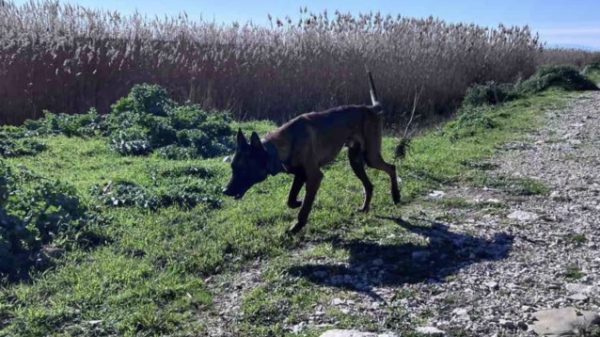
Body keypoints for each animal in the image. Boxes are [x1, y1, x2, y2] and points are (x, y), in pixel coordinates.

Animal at [223, 71, 400, 234]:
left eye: (243, 169)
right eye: (233, 167)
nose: (225, 191)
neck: (279, 148)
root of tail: (371, 109)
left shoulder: (314, 177)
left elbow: (304, 209)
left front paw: (296, 226)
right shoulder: (300, 175)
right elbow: (290, 199)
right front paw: (298, 203)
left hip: (370, 157)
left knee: (391, 168)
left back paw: (396, 196)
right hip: (355, 161)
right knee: (369, 185)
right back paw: (365, 207)